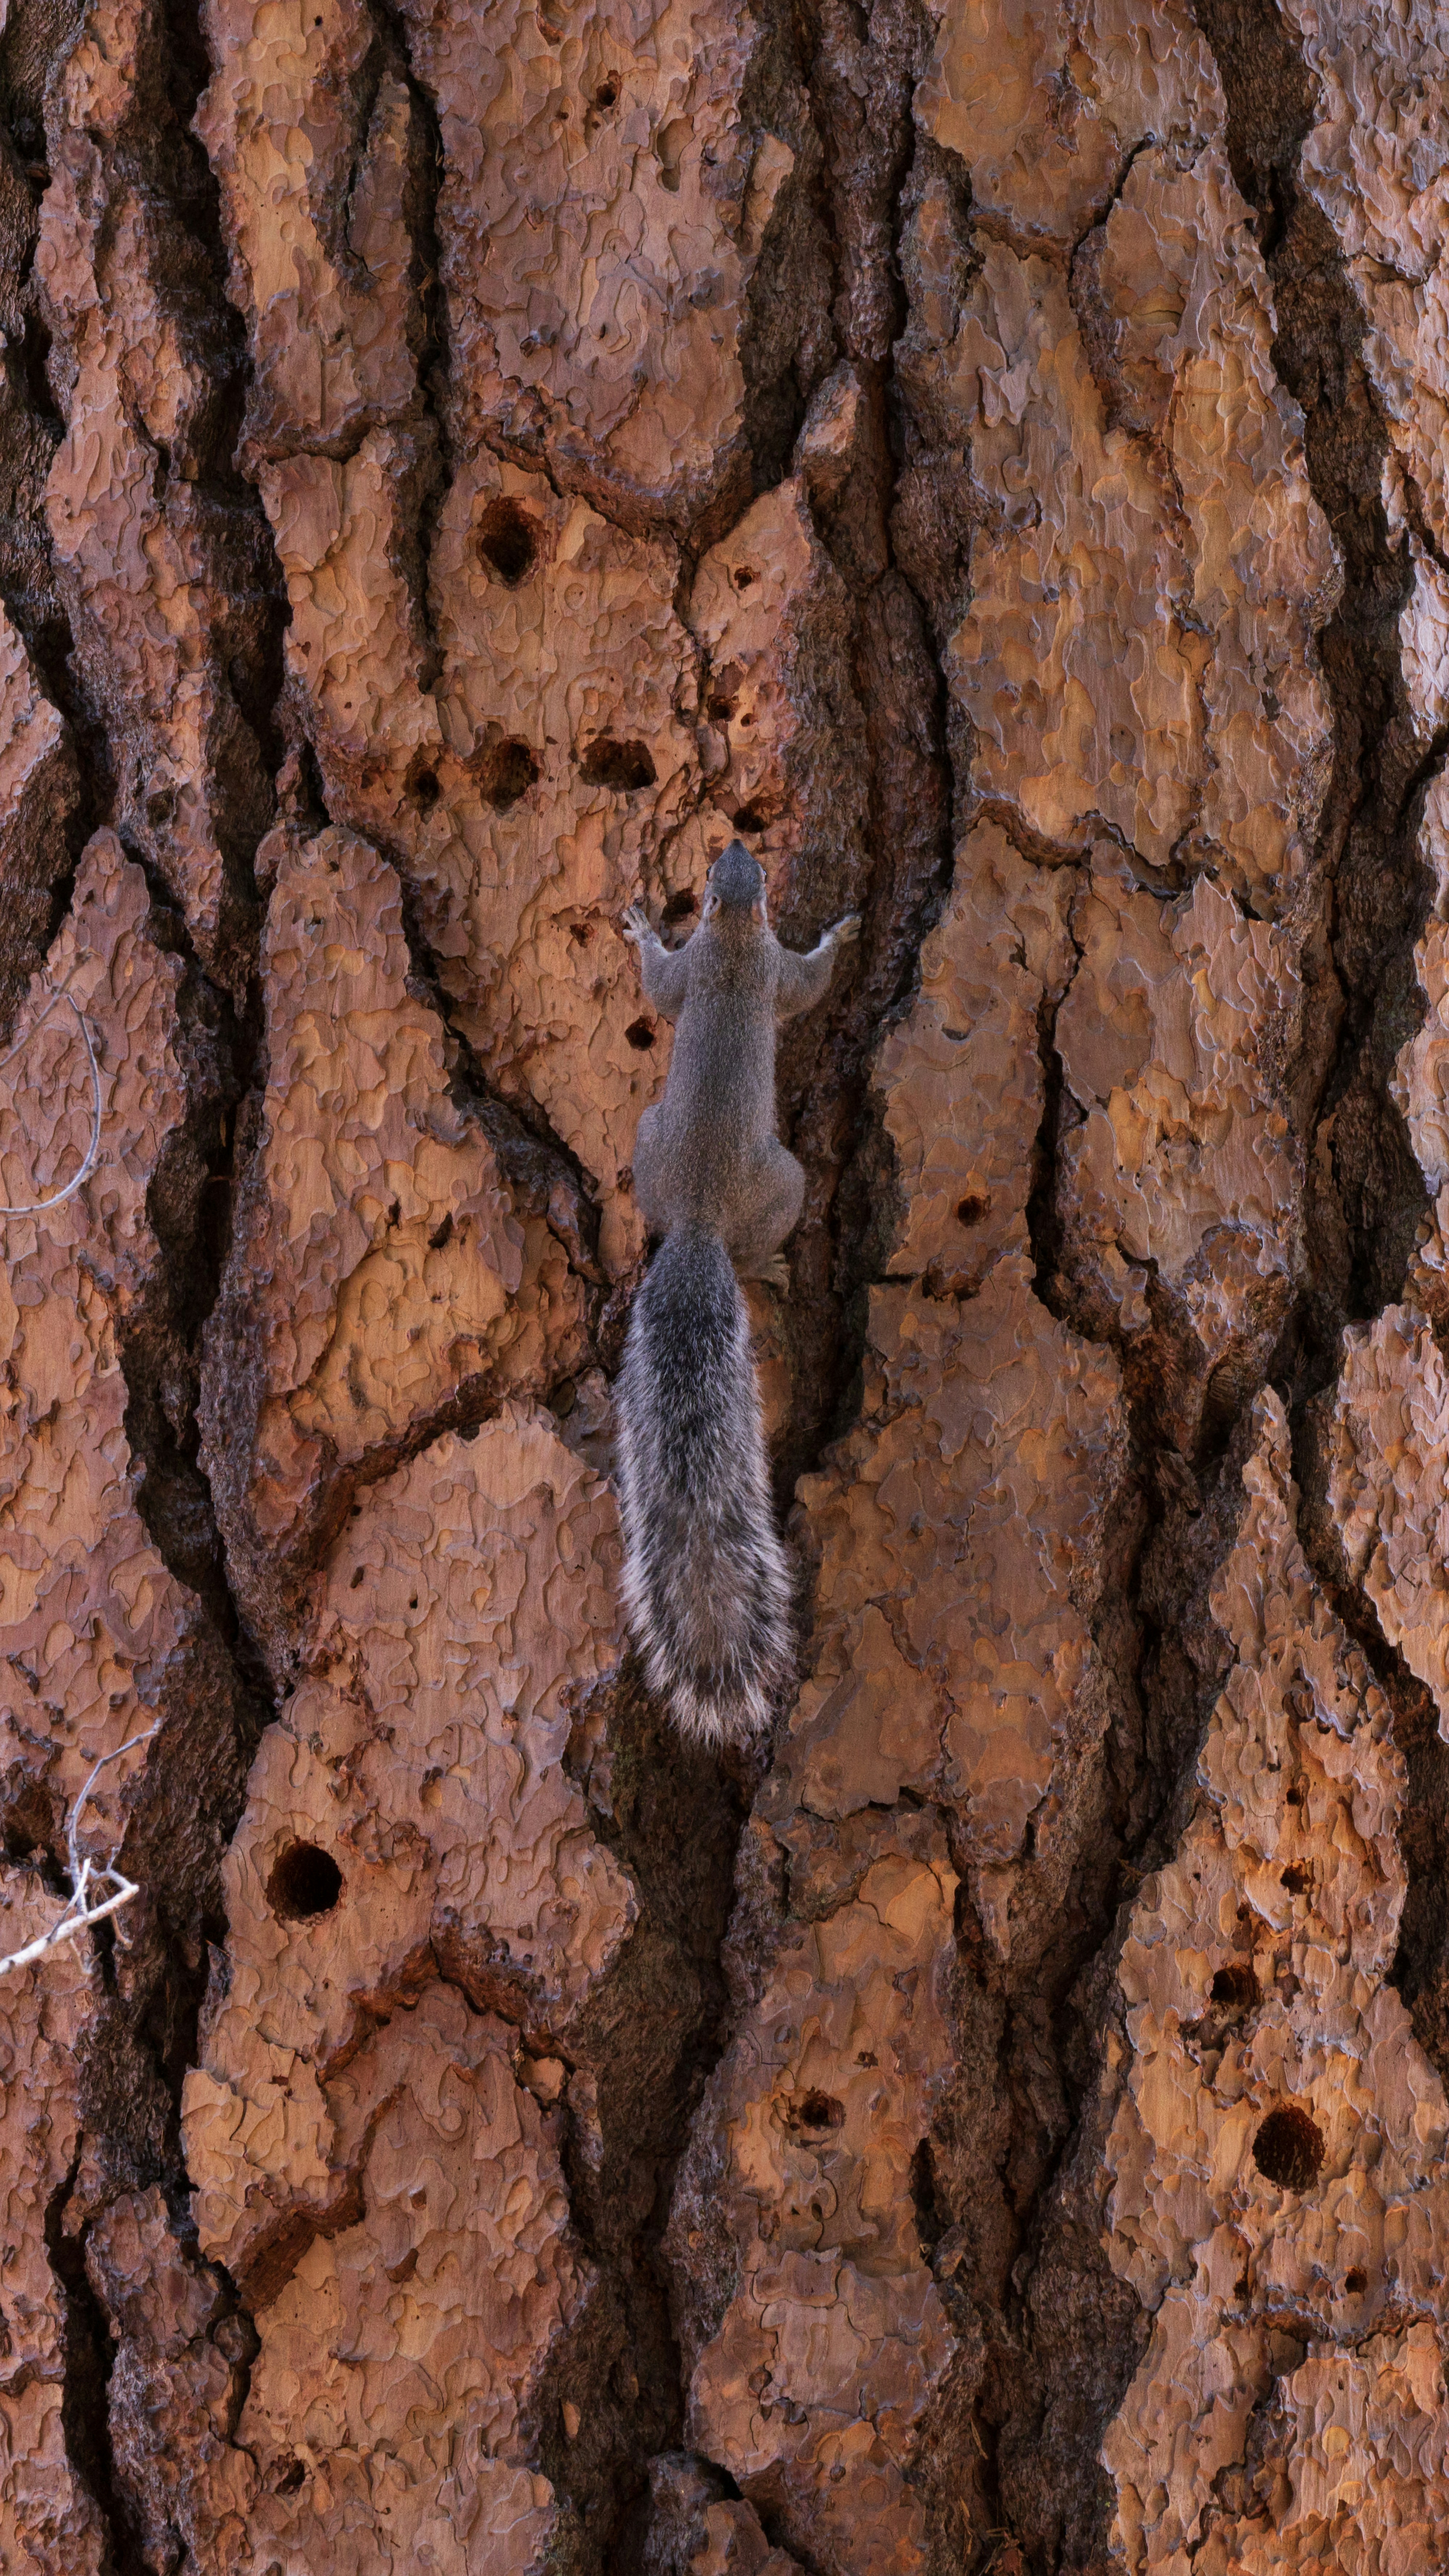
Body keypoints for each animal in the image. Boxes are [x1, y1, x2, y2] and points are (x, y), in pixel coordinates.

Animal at [615, 838, 860, 1749]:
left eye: (737, 861)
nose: (735, 845)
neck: (724, 937)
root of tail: (696, 1221)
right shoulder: (765, 970)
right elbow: (805, 983)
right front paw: (840, 934)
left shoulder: (704, 967)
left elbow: (664, 988)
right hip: (783, 1180)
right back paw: (767, 1269)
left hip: (648, 1137)